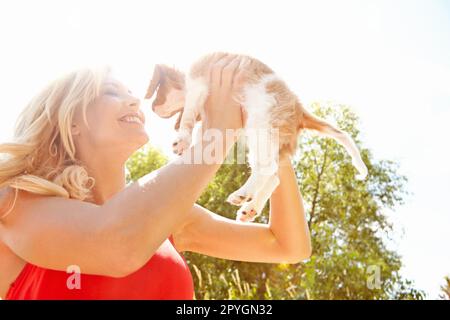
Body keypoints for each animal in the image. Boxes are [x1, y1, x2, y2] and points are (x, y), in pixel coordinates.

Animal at [146, 52, 368, 222]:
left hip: (261, 128)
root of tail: (299, 110)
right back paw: (250, 208)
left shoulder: (198, 86)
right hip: (276, 143)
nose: (152, 108)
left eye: (158, 93)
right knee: (274, 177)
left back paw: (242, 194)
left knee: (267, 170)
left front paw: (181, 140)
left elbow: (188, 117)